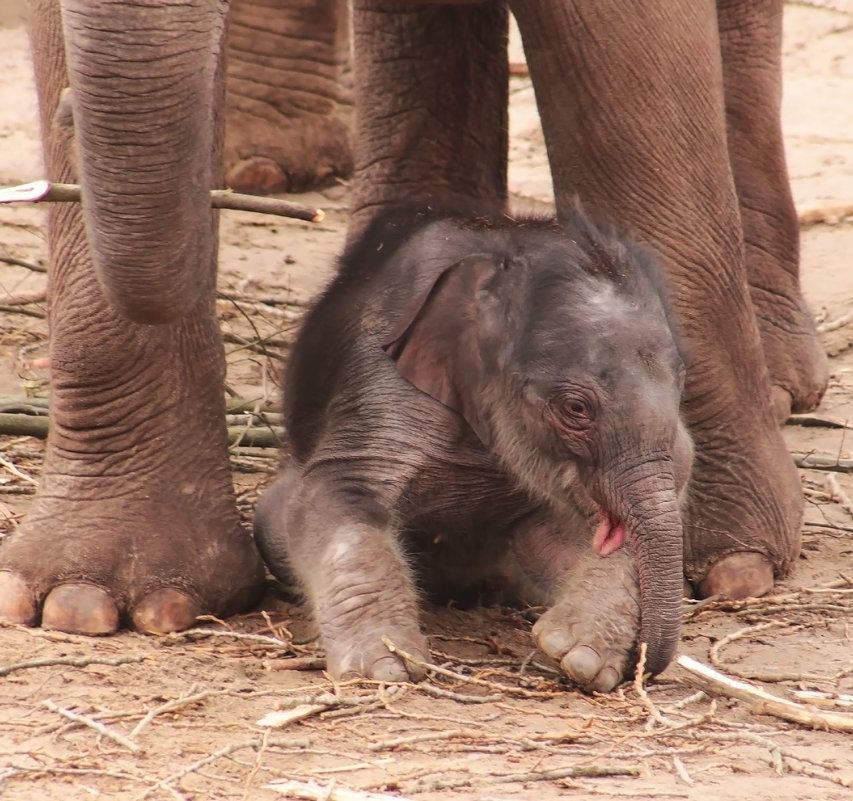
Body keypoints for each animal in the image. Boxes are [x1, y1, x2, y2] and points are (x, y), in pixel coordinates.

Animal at [255, 209, 692, 692]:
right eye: (575, 408)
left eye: (682, 385)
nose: (643, 666)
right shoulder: (381, 374)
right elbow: (340, 488)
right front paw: (385, 668)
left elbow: (677, 469)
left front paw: (580, 657)